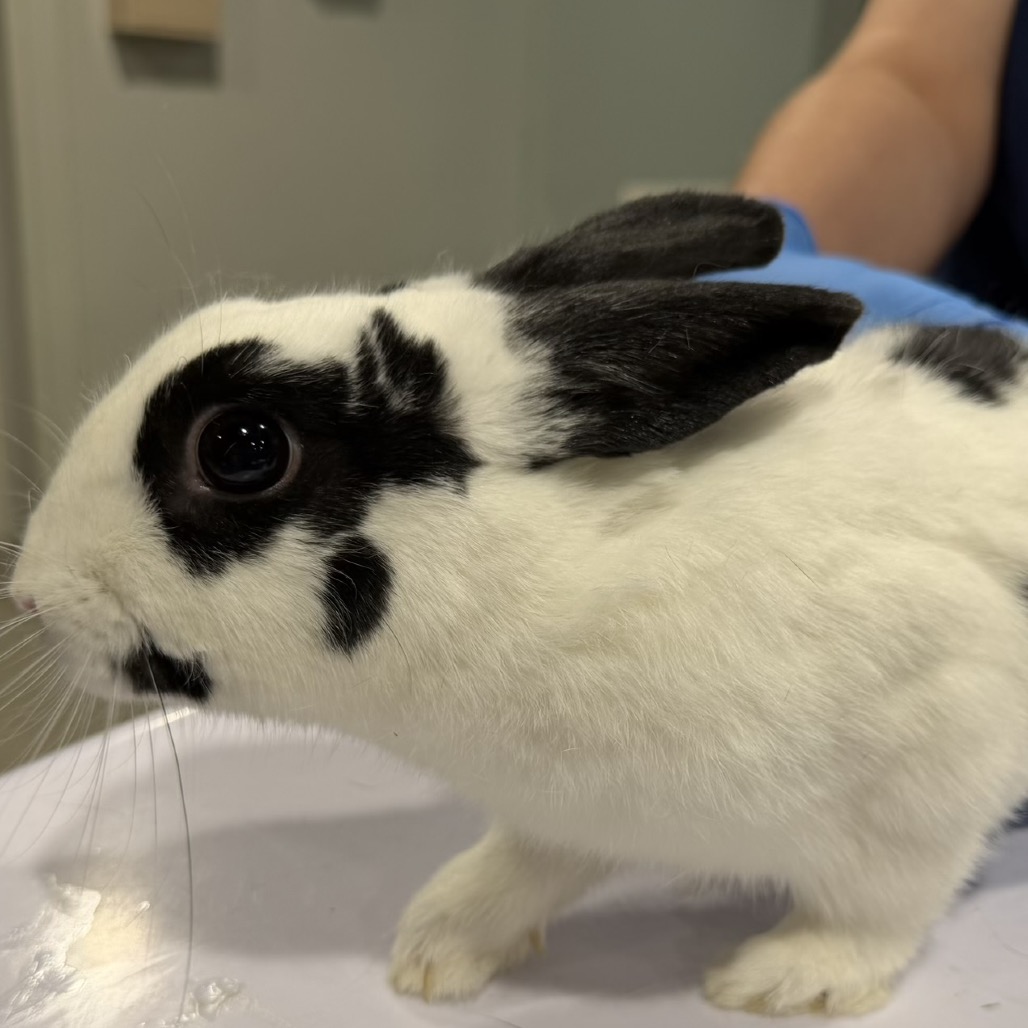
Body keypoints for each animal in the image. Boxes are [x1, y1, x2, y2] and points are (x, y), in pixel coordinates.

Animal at [11, 191, 1028, 1018]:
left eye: (243, 447)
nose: (29, 595)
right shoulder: (573, 812)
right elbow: (530, 866)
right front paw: (436, 948)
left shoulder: (934, 757)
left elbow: (881, 906)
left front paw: (784, 979)